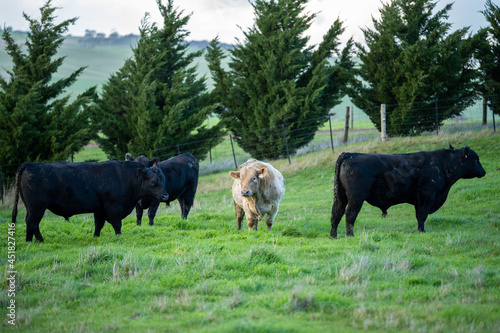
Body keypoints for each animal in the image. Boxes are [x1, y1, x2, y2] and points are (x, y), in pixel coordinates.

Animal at [11, 160, 168, 240]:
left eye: (163, 179)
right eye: (153, 182)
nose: (165, 196)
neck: (124, 176)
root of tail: (30, 164)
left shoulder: (99, 209)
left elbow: (98, 225)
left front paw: (96, 237)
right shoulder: (114, 207)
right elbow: (117, 224)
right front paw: (119, 236)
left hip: (30, 207)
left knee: (29, 223)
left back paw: (29, 241)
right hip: (37, 207)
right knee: (33, 223)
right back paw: (40, 240)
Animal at [330, 145, 486, 236]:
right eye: (475, 158)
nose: (483, 172)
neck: (441, 165)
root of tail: (349, 154)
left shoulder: (419, 200)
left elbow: (419, 216)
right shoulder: (426, 197)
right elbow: (422, 216)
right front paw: (421, 231)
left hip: (341, 197)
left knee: (336, 214)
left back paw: (333, 236)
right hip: (356, 198)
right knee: (350, 214)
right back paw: (350, 235)